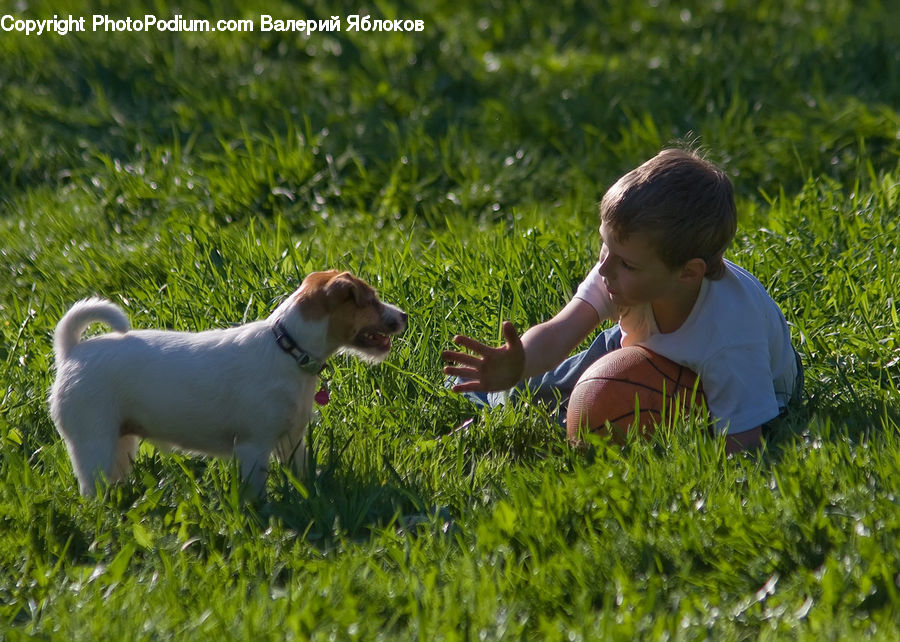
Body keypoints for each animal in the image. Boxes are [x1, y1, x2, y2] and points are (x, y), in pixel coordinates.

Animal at [51, 268, 410, 496]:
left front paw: (308, 495)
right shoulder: (253, 447)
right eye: (370, 300)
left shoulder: (292, 439)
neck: (288, 348)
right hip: (93, 440)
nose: (405, 315)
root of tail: (71, 351)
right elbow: (256, 491)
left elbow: (300, 473)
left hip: (120, 442)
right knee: (91, 487)